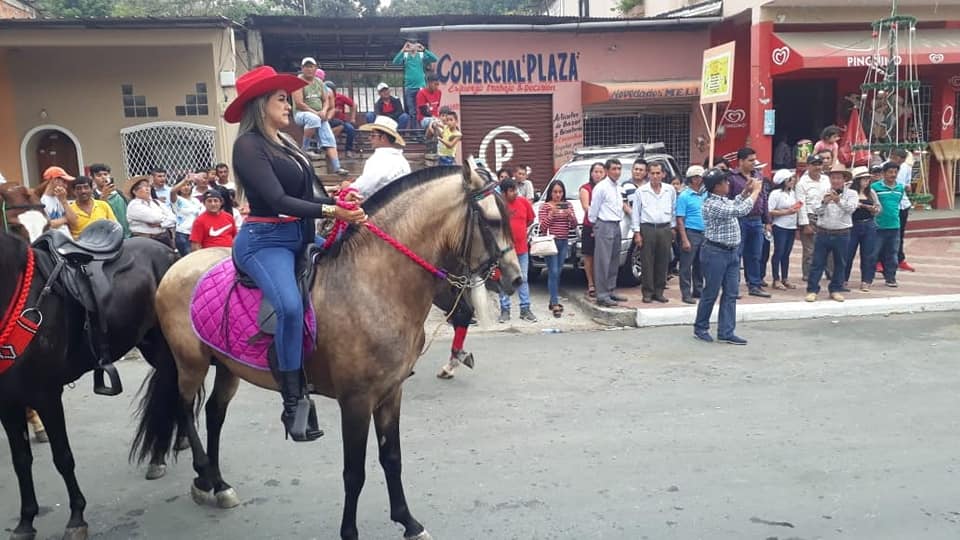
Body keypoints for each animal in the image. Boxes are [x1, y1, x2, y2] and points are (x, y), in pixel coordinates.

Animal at [0, 182, 179, 540]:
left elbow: (62, 456)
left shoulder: (46, 394)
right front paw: (26, 521)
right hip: (151, 346)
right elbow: (21, 459)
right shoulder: (6, 401)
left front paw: (76, 516)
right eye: (13, 225)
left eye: (45, 221)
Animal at [131, 162, 523, 540]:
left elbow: (392, 459)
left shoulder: (390, 394)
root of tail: (178, 264)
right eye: (491, 220)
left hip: (228, 365)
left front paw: (408, 522)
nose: (516, 278)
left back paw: (218, 483)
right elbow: (354, 472)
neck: (372, 285)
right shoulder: (356, 401)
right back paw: (204, 475)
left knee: (214, 414)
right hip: (191, 363)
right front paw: (350, 532)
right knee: (184, 410)